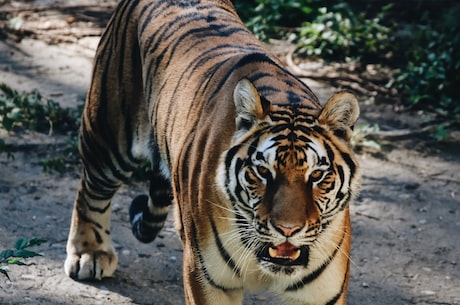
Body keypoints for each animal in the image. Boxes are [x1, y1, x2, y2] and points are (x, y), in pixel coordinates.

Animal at [63, 0, 360, 304]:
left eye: (317, 176)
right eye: (263, 172)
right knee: (91, 190)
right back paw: (89, 253)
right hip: (108, 136)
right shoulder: (207, 278)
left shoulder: (321, 294)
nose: (288, 230)